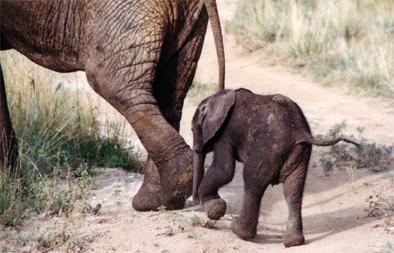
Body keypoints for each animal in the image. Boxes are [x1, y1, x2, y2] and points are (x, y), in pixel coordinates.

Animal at [0, 0, 225, 211]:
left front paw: (10, 189)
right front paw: (14, 187)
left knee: (112, 83)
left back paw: (170, 188)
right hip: (190, 19)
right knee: (169, 94)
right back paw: (156, 201)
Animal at [191, 88, 360, 247]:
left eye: (192, 129)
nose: (195, 202)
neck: (219, 96)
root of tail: (300, 131)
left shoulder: (224, 134)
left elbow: (224, 170)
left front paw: (214, 209)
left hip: (268, 149)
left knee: (252, 180)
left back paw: (238, 230)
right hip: (299, 152)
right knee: (293, 189)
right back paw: (293, 242)